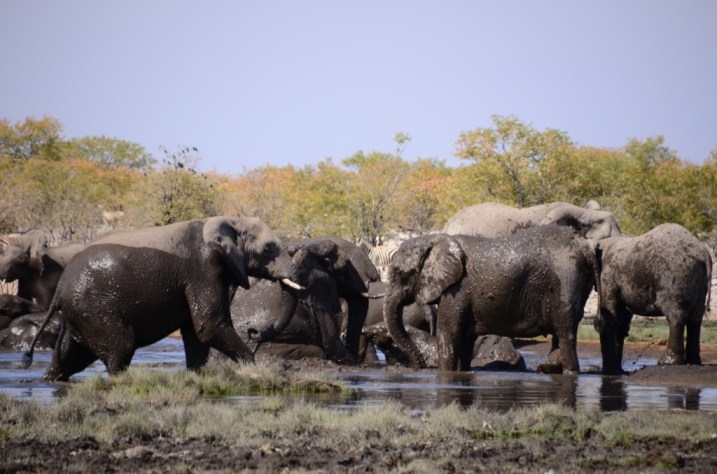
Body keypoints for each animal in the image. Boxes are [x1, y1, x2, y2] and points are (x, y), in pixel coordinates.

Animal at [23, 216, 301, 381]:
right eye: (268, 249)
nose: (254, 331)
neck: (230, 220)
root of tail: (60, 287)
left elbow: (195, 333)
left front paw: (196, 378)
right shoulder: (204, 268)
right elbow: (208, 327)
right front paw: (254, 370)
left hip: (80, 314)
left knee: (69, 357)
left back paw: (50, 380)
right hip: (95, 309)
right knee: (121, 348)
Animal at [383, 225, 597, 372]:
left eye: (400, 273)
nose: (418, 366)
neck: (434, 239)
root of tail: (584, 245)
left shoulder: (456, 289)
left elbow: (447, 335)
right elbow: (465, 340)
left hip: (566, 278)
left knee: (565, 331)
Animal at [594, 223, 712, 374]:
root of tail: (704, 253)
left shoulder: (608, 276)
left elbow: (611, 314)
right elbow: (622, 319)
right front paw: (618, 370)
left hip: (675, 275)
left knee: (676, 316)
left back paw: (667, 362)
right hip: (699, 280)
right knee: (695, 319)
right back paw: (693, 361)